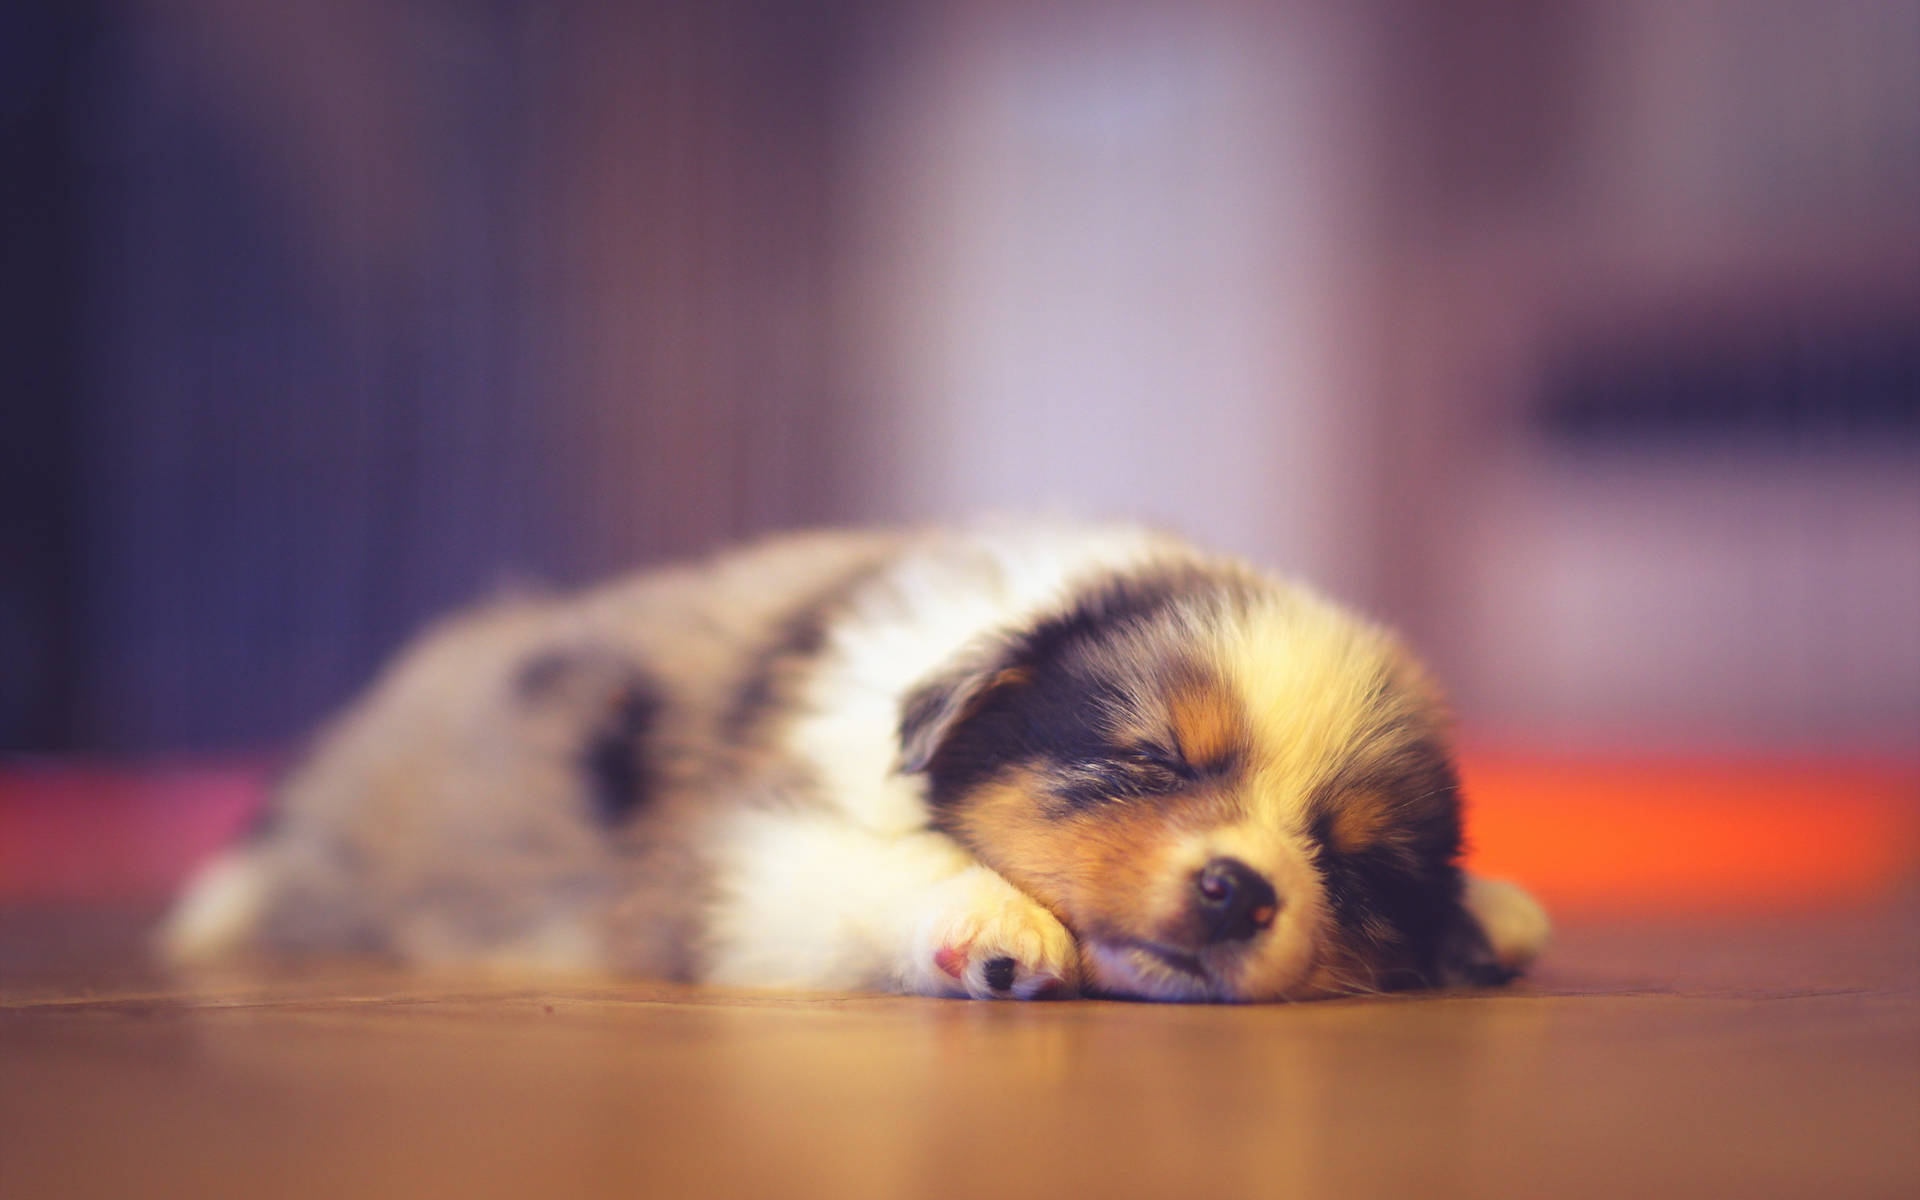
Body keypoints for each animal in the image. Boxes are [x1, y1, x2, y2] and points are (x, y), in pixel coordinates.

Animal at [161, 518, 1543, 998]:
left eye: (1350, 865)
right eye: (1150, 758)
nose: (1240, 890)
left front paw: (1493, 910)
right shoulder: (737, 863)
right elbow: (876, 867)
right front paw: (994, 925)